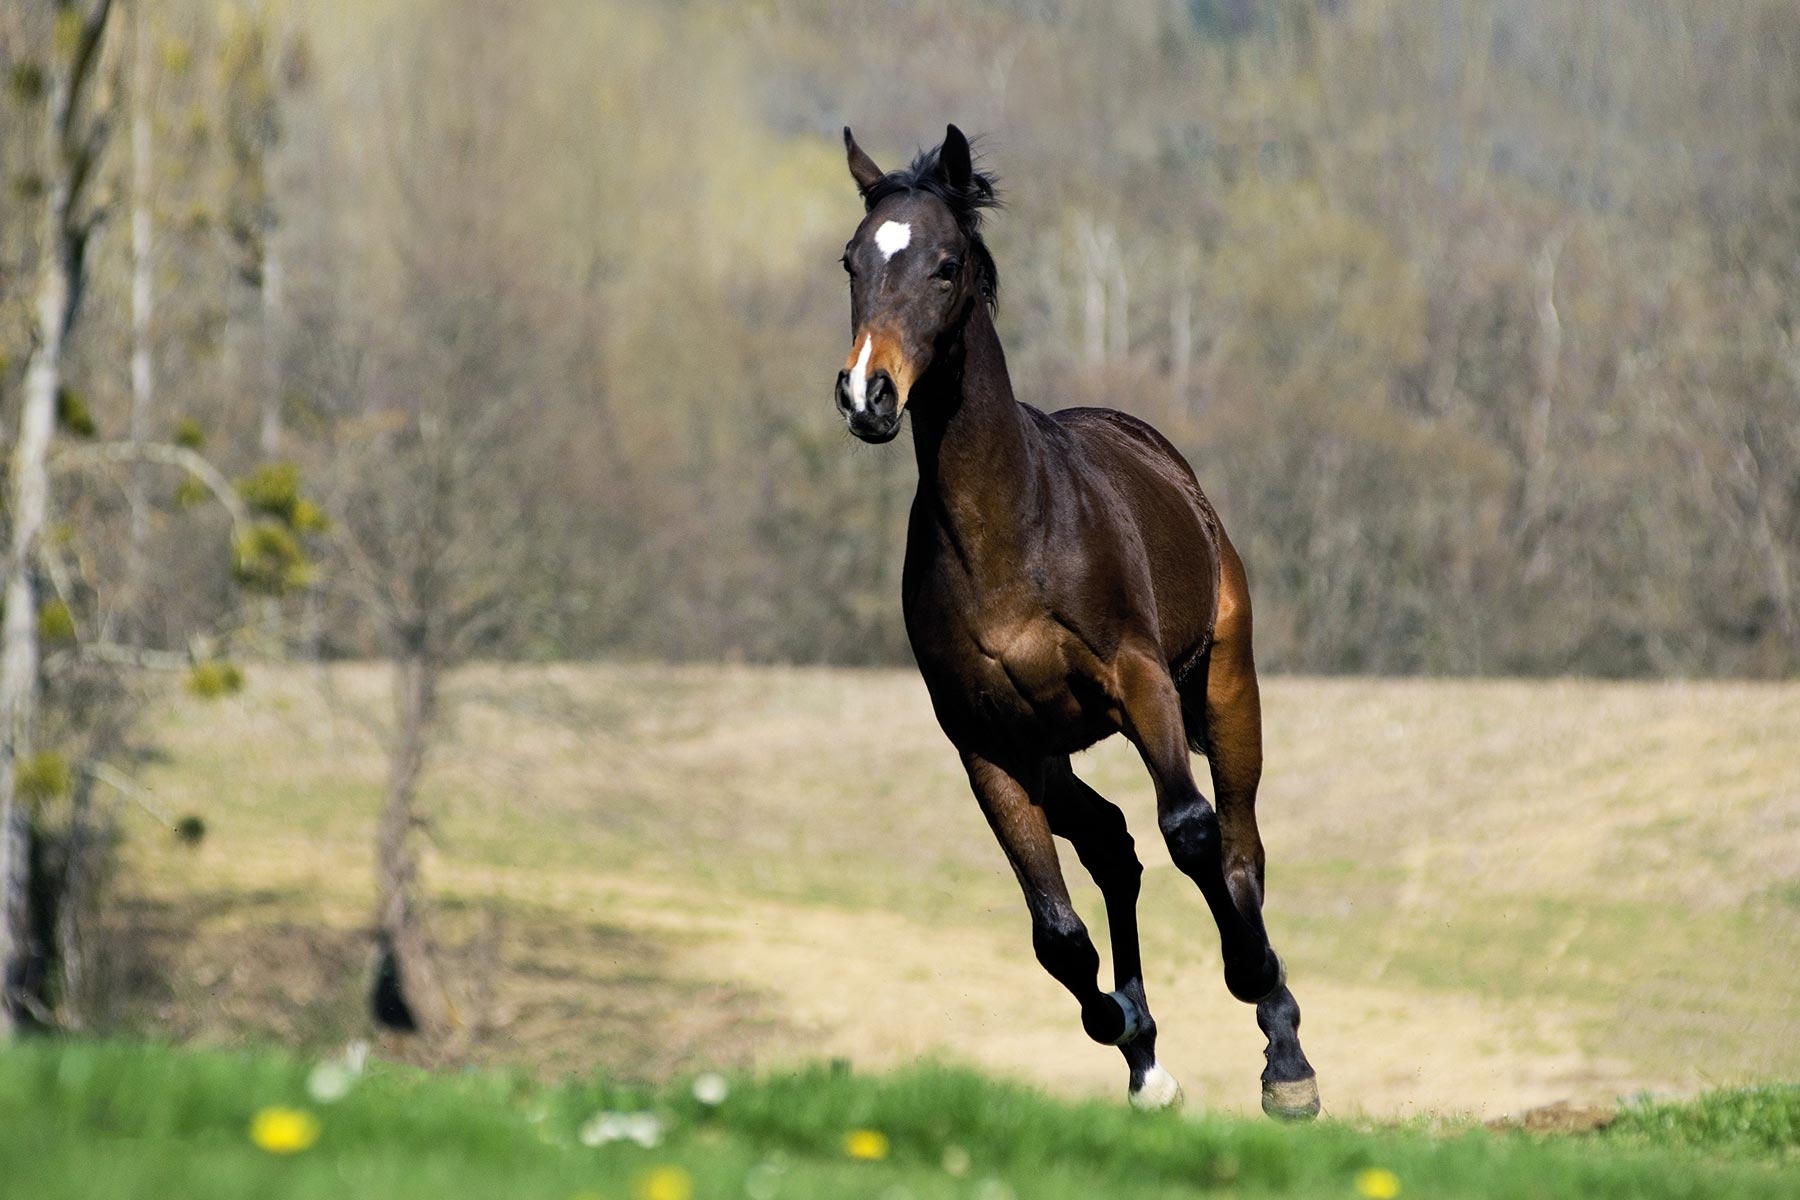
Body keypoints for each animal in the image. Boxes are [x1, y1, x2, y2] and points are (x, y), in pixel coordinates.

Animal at [830, 125, 1319, 1119]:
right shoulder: (986, 743)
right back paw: (1145, 1057)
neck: (1008, 533)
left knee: (1236, 842)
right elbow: (1055, 932)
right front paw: (1131, 1038)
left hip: (1226, 684)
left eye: (945, 265)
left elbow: (1193, 830)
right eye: (851, 260)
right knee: (1111, 847)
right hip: (1053, 751)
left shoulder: (1140, 683)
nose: (868, 395)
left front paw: (1257, 996)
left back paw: (1283, 1048)